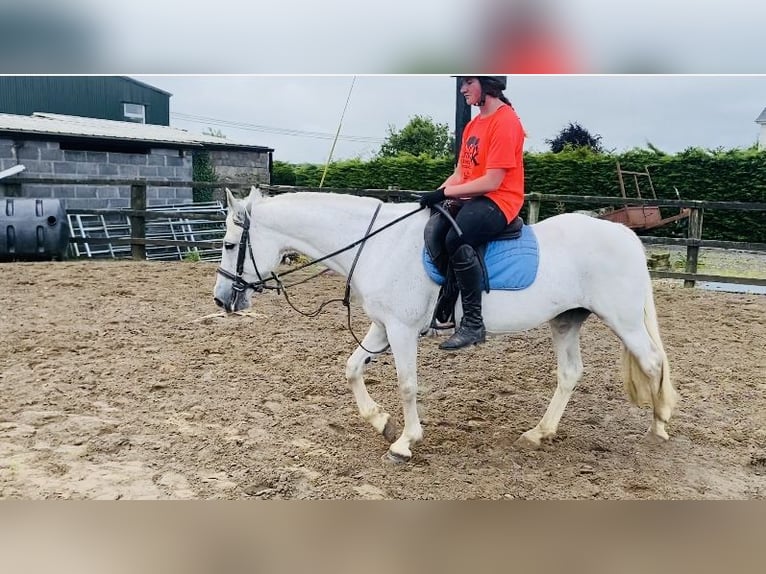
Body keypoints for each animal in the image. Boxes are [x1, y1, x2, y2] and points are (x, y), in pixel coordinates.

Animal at [214, 187, 680, 466]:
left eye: (230, 244)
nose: (221, 299)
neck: (376, 244)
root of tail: (625, 235)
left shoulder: (401, 330)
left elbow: (407, 384)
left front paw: (404, 442)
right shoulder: (382, 326)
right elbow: (351, 368)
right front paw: (379, 421)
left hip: (622, 321)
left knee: (654, 363)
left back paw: (659, 426)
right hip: (566, 320)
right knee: (570, 373)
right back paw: (538, 433)